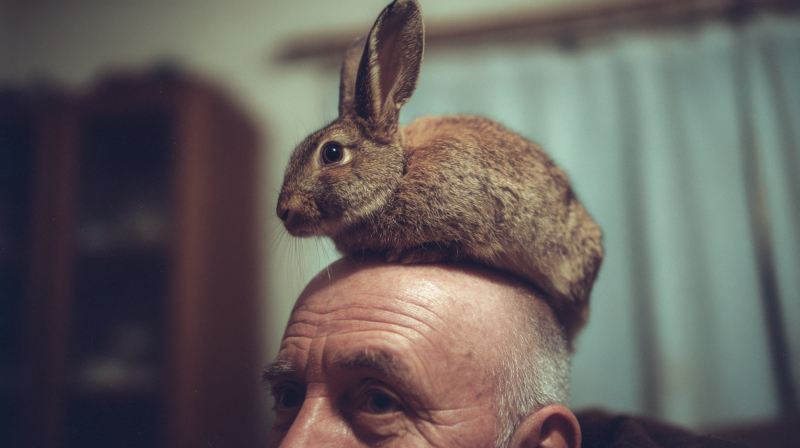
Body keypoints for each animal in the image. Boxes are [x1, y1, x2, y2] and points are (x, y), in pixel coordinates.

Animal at [276, 0, 603, 340]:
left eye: (332, 153)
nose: (283, 211)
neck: (399, 174)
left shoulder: (474, 221)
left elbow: (454, 246)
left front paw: (406, 255)